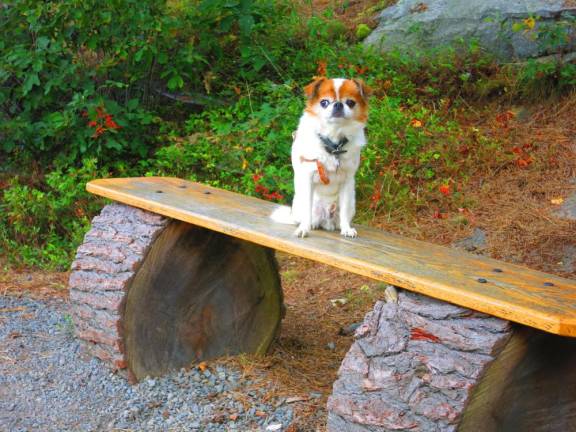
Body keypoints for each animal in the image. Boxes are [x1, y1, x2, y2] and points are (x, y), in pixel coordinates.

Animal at [272, 78, 372, 240]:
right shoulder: (307, 178)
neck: (334, 144)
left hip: (351, 202)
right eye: (324, 102)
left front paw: (347, 229)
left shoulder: (347, 181)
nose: (338, 104)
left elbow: (344, 211)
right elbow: (307, 210)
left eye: (350, 102)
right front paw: (304, 229)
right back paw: (310, 224)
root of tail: (326, 219)